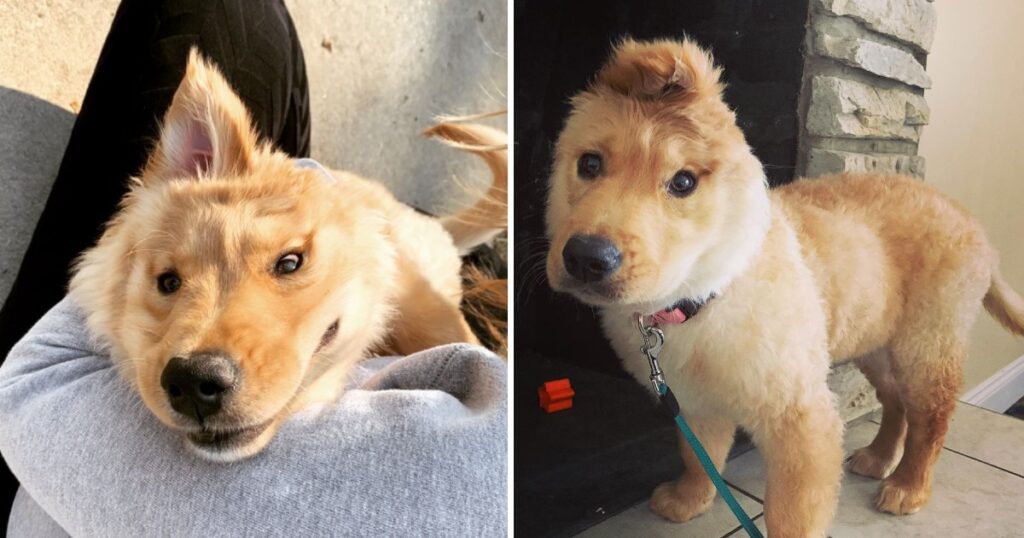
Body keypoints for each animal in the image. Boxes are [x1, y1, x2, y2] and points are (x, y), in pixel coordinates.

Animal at [544, 37, 1024, 532]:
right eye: (590, 164)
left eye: (683, 182)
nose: (586, 258)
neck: (703, 295)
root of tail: (972, 223)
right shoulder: (695, 402)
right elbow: (699, 457)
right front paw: (689, 499)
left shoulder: (802, 420)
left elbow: (793, 515)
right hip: (875, 339)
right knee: (895, 402)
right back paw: (877, 457)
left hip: (928, 344)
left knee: (931, 417)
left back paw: (908, 485)